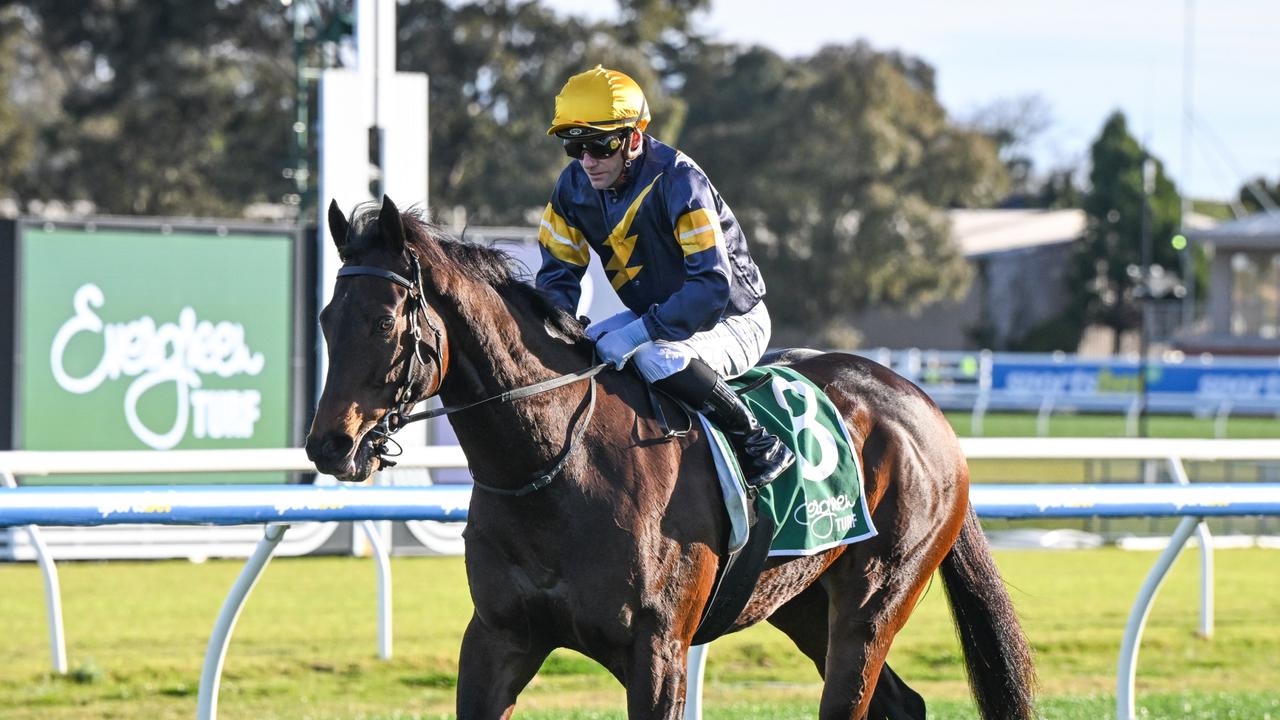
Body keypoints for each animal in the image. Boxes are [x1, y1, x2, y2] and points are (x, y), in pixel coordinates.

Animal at [304, 196, 1034, 717]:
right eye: (325, 318)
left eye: (384, 321)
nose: (328, 444)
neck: (557, 469)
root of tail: (922, 404)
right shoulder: (497, 638)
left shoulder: (657, 652)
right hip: (802, 600)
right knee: (901, 704)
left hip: (875, 599)